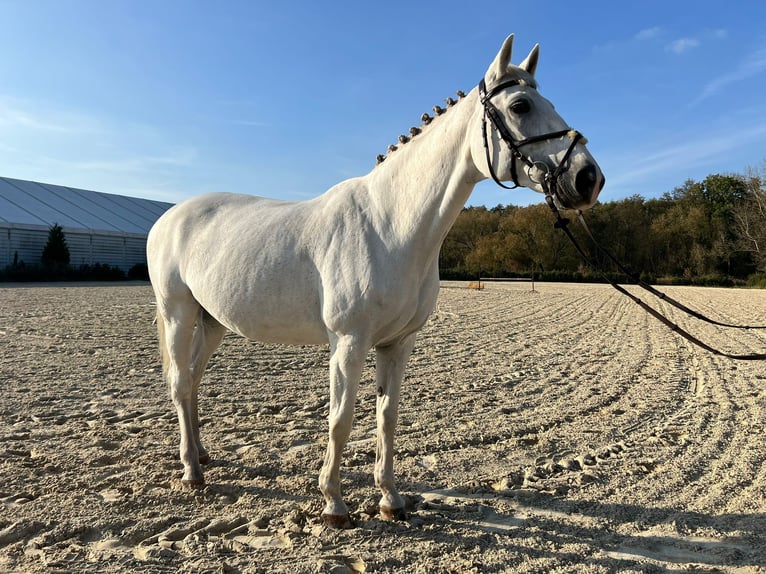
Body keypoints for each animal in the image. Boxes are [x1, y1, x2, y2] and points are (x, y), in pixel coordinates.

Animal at [148, 35, 608, 532]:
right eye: (521, 105)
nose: (588, 178)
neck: (389, 224)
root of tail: (169, 218)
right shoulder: (348, 343)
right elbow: (341, 420)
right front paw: (333, 503)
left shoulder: (397, 344)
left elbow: (387, 417)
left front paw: (390, 499)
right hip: (178, 315)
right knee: (180, 383)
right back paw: (192, 472)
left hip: (212, 322)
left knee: (193, 381)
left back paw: (202, 455)